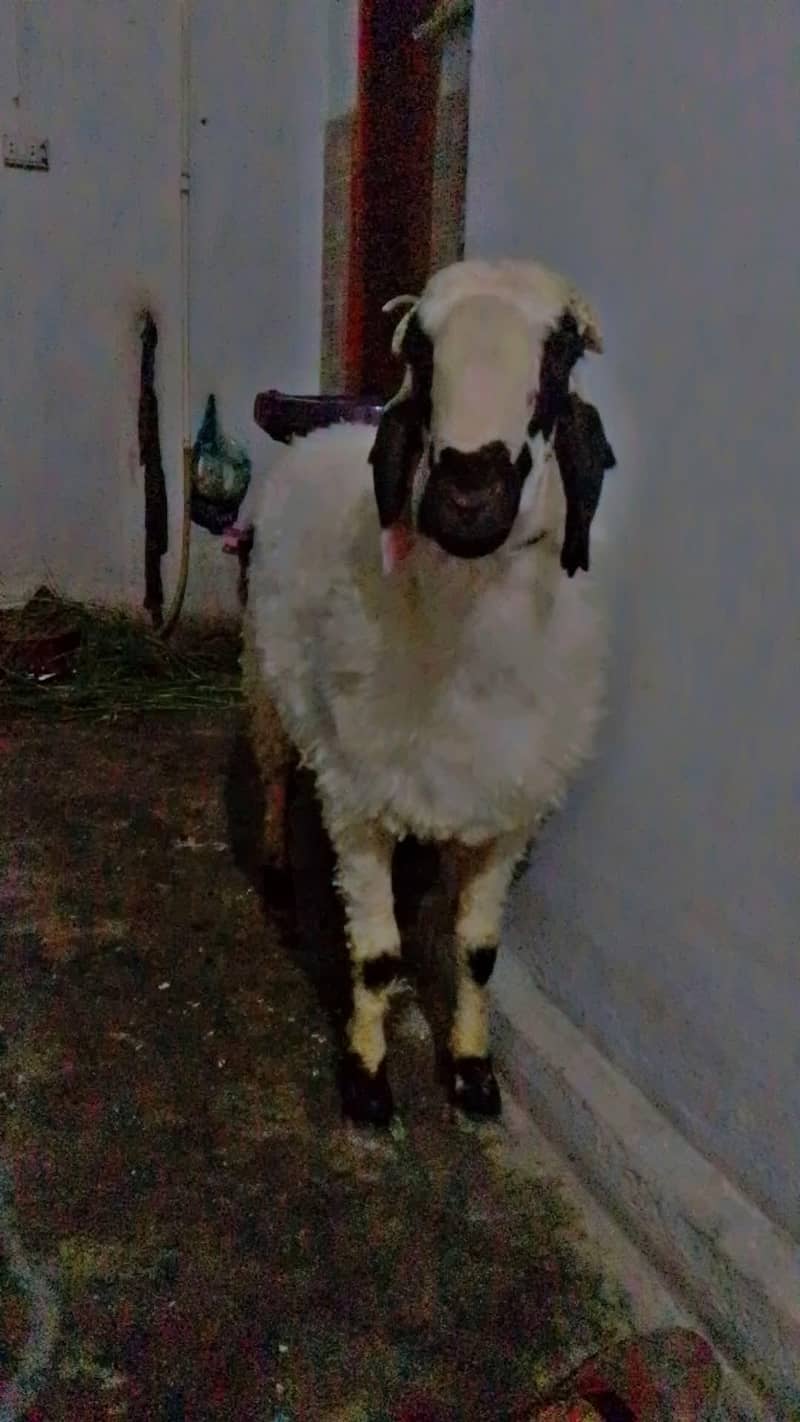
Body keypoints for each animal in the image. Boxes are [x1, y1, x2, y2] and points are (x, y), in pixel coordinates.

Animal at [243, 257, 616, 1127]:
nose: (467, 495)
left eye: (561, 357)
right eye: (418, 349)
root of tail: (326, 428)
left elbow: (477, 954)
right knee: (274, 773)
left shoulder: (508, 814)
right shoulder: (356, 803)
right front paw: (367, 1081)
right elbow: (377, 958)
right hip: (263, 681)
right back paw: (276, 872)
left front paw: (474, 1073)